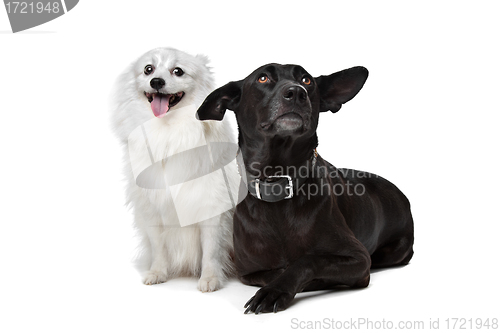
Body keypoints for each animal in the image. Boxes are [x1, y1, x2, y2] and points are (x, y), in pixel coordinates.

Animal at [110, 46, 239, 290]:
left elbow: (211, 249)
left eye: (178, 71)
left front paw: (210, 278)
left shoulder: (212, 207)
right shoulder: (152, 210)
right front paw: (157, 272)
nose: (156, 81)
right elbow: (159, 247)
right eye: (148, 69)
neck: (168, 129)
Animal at [195, 63, 414, 312]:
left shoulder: (358, 258)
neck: (277, 184)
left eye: (306, 80)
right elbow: (275, 271)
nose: (296, 92)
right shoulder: (248, 272)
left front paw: (276, 290)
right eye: (263, 78)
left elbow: (308, 260)